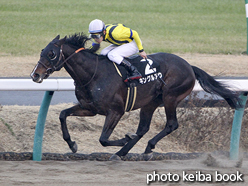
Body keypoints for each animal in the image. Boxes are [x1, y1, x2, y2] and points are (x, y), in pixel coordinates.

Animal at [30, 33, 240, 160]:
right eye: (41, 52)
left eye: (51, 53)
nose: (35, 75)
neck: (93, 74)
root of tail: (189, 66)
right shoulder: (89, 108)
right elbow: (63, 114)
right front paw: (72, 144)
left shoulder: (115, 111)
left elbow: (103, 139)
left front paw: (123, 138)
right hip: (150, 103)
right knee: (143, 128)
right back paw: (122, 152)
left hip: (171, 97)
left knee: (171, 124)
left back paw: (147, 148)